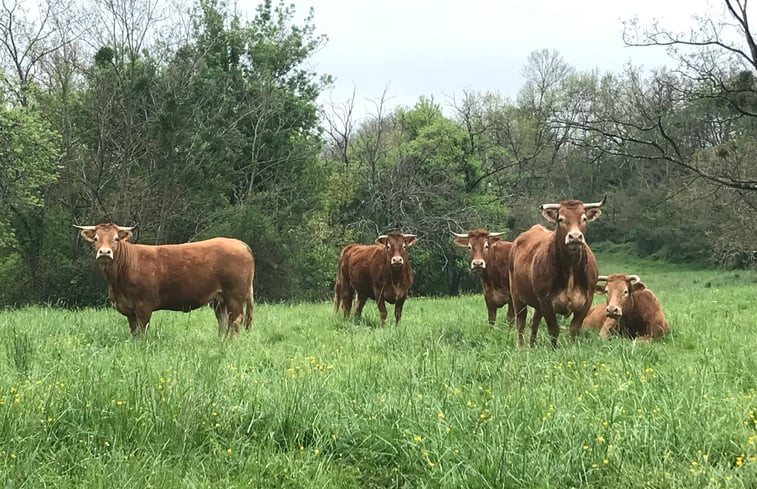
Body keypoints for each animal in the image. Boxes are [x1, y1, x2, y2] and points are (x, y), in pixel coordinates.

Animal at [76, 224, 254, 336]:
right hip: (220, 300)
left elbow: (143, 331)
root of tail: (238, 243)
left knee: (235, 321)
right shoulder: (129, 310)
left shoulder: (144, 305)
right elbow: (134, 332)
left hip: (235, 295)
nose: (104, 252)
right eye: (96, 239)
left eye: (116, 239)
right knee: (223, 322)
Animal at [508, 194, 608, 346]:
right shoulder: (546, 301)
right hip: (517, 296)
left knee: (534, 322)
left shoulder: (586, 301)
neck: (571, 268)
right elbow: (554, 330)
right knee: (521, 323)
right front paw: (553, 349)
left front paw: (573, 348)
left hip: (536, 304)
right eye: (560, 219)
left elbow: (574, 329)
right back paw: (520, 346)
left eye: (584, 218)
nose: (575, 237)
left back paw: (532, 346)